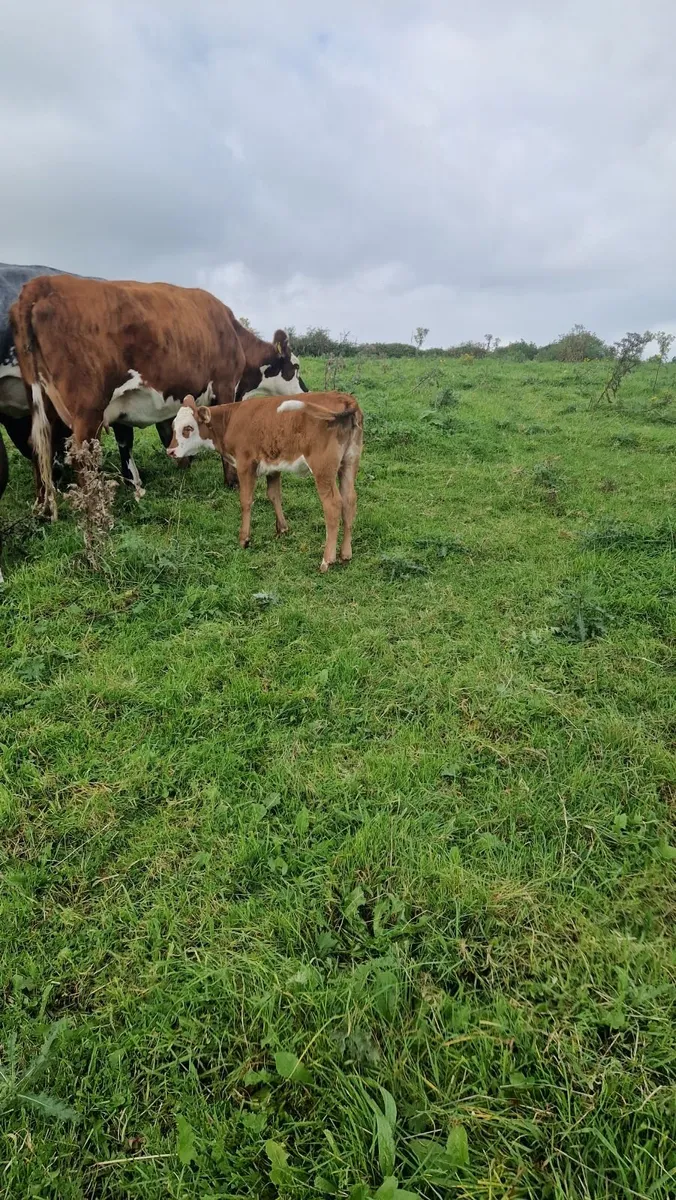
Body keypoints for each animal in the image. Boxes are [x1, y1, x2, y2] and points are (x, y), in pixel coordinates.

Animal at [9, 274, 307, 520]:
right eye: (296, 366)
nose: (306, 392)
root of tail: (42, 283)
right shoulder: (224, 386)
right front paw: (232, 481)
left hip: (45, 406)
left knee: (40, 447)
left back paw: (43, 508)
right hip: (87, 411)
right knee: (81, 455)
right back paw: (96, 510)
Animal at [167, 391, 363, 572]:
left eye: (188, 428)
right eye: (173, 426)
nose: (170, 451)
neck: (230, 420)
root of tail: (346, 399)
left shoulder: (245, 465)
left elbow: (246, 501)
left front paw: (244, 539)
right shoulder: (273, 466)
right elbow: (274, 495)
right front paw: (282, 529)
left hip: (323, 470)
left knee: (333, 505)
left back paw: (327, 560)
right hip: (349, 462)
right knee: (349, 500)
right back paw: (345, 554)